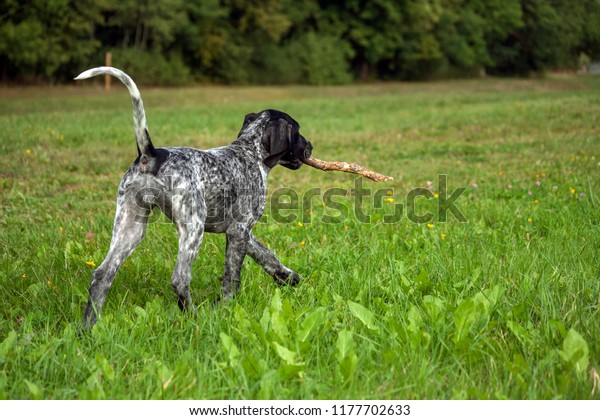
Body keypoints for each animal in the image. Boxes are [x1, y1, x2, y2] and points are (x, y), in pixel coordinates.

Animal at [74, 66, 314, 328]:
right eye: (298, 132)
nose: (310, 146)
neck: (249, 152)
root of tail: (151, 155)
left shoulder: (241, 232)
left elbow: (266, 255)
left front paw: (287, 277)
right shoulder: (239, 230)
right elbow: (232, 277)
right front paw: (224, 307)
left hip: (130, 228)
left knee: (101, 275)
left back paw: (87, 328)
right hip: (193, 228)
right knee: (179, 279)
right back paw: (194, 318)